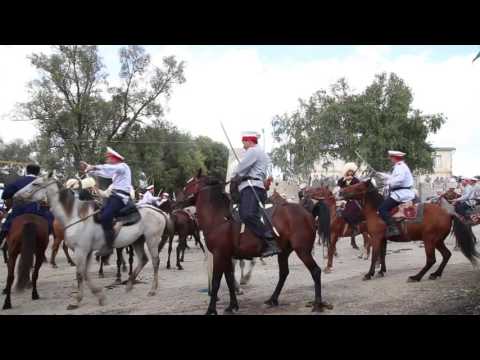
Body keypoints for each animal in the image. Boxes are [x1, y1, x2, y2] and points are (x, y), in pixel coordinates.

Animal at [14, 172, 169, 310]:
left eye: (35, 183)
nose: (16, 196)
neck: (75, 216)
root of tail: (159, 211)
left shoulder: (81, 251)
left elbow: (80, 274)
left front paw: (77, 301)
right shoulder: (87, 252)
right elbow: (85, 274)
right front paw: (99, 296)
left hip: (152, 240)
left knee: (155, 261)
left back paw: (152, 289)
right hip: (138, 241)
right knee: (143, 260)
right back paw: (130, 284)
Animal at [182, 170, 332, 314]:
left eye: (188, 185)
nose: (178, 200)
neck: (220, 218)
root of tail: (308, 213)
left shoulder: (220, 255)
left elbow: (216, 282)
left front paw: (211, 309)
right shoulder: (226, 256)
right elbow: (229, 279)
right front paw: (232, 306)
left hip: (302, 250)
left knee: (315, 271)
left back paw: (317, 304)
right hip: (284, 252)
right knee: (284, 273)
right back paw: (273, 299)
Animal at [340, 179, 478, 282]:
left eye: (358, 186)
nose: (341, 191)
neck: (376, 212)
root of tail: (448, 213)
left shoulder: (376, 238)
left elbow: (375, 256)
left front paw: (369, 274)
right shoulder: (383, 239)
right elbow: (382, 255)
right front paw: (381, 271)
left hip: (429, 240)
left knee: (431, 259)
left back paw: (416, 277)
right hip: (438, 241)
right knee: (446, 255)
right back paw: (435, 274)